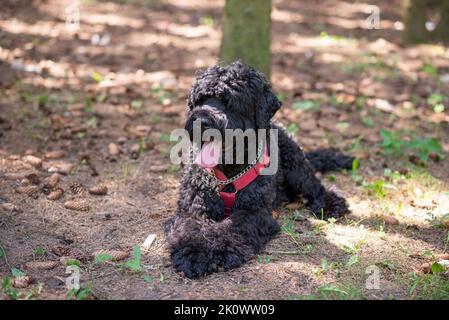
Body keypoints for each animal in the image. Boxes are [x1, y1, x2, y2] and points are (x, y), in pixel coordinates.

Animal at [164, 61, 354, 278]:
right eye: (200, 99)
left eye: (230, 101)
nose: (201, 121)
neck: (228, 174)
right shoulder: (192, 209)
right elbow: (190, 229)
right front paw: (194, 252)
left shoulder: (253, 213)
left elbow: (231, 229)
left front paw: (219, 249)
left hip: (297, 167)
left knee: (315, 187)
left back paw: (330, 203)